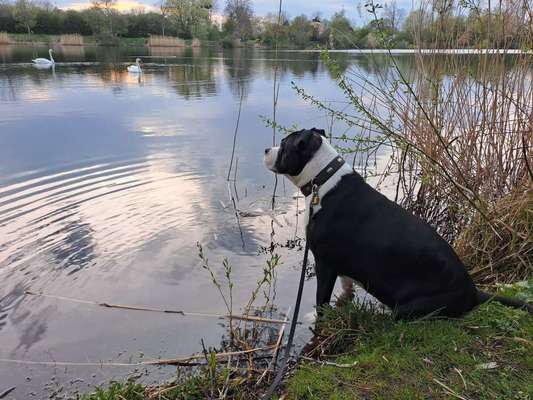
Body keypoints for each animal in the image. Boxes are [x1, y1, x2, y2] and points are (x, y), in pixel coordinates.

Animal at [264, 128, 532, 318]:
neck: (323, 179)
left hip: (411, 307)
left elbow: (322, 299)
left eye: (284, 145)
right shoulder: (340, 265)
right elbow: (347, 286)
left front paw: (316, 317)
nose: (267, 149)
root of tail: (473, 292)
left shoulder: (324, 262)